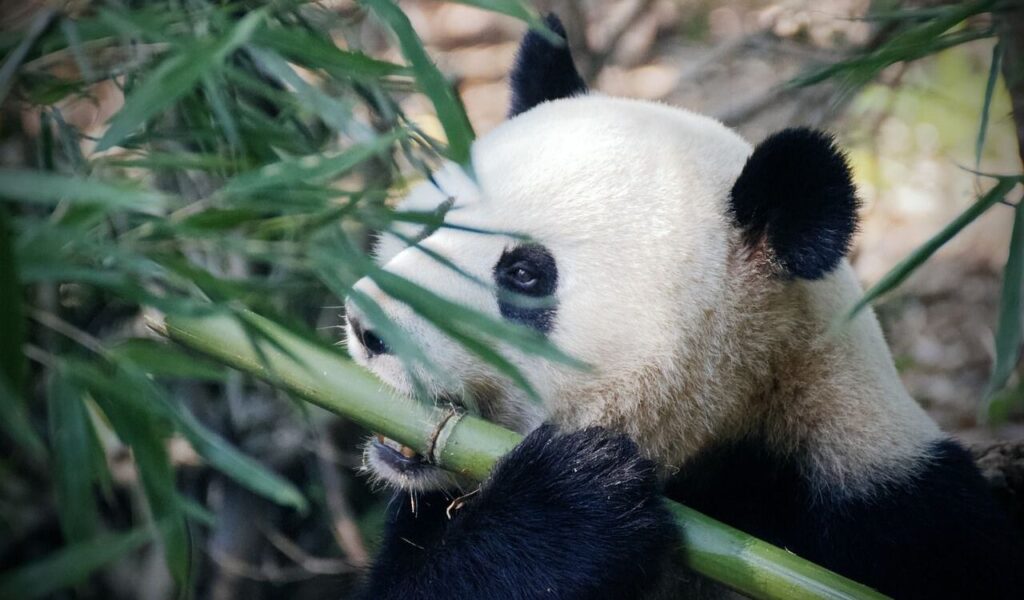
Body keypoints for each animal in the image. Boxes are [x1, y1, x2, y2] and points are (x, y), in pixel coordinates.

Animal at [344, 15, 1022, 600]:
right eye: (432, 220)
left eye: (524, 275)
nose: (367, 326)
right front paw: (571, 501)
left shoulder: (892, 511)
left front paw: (574, 494)